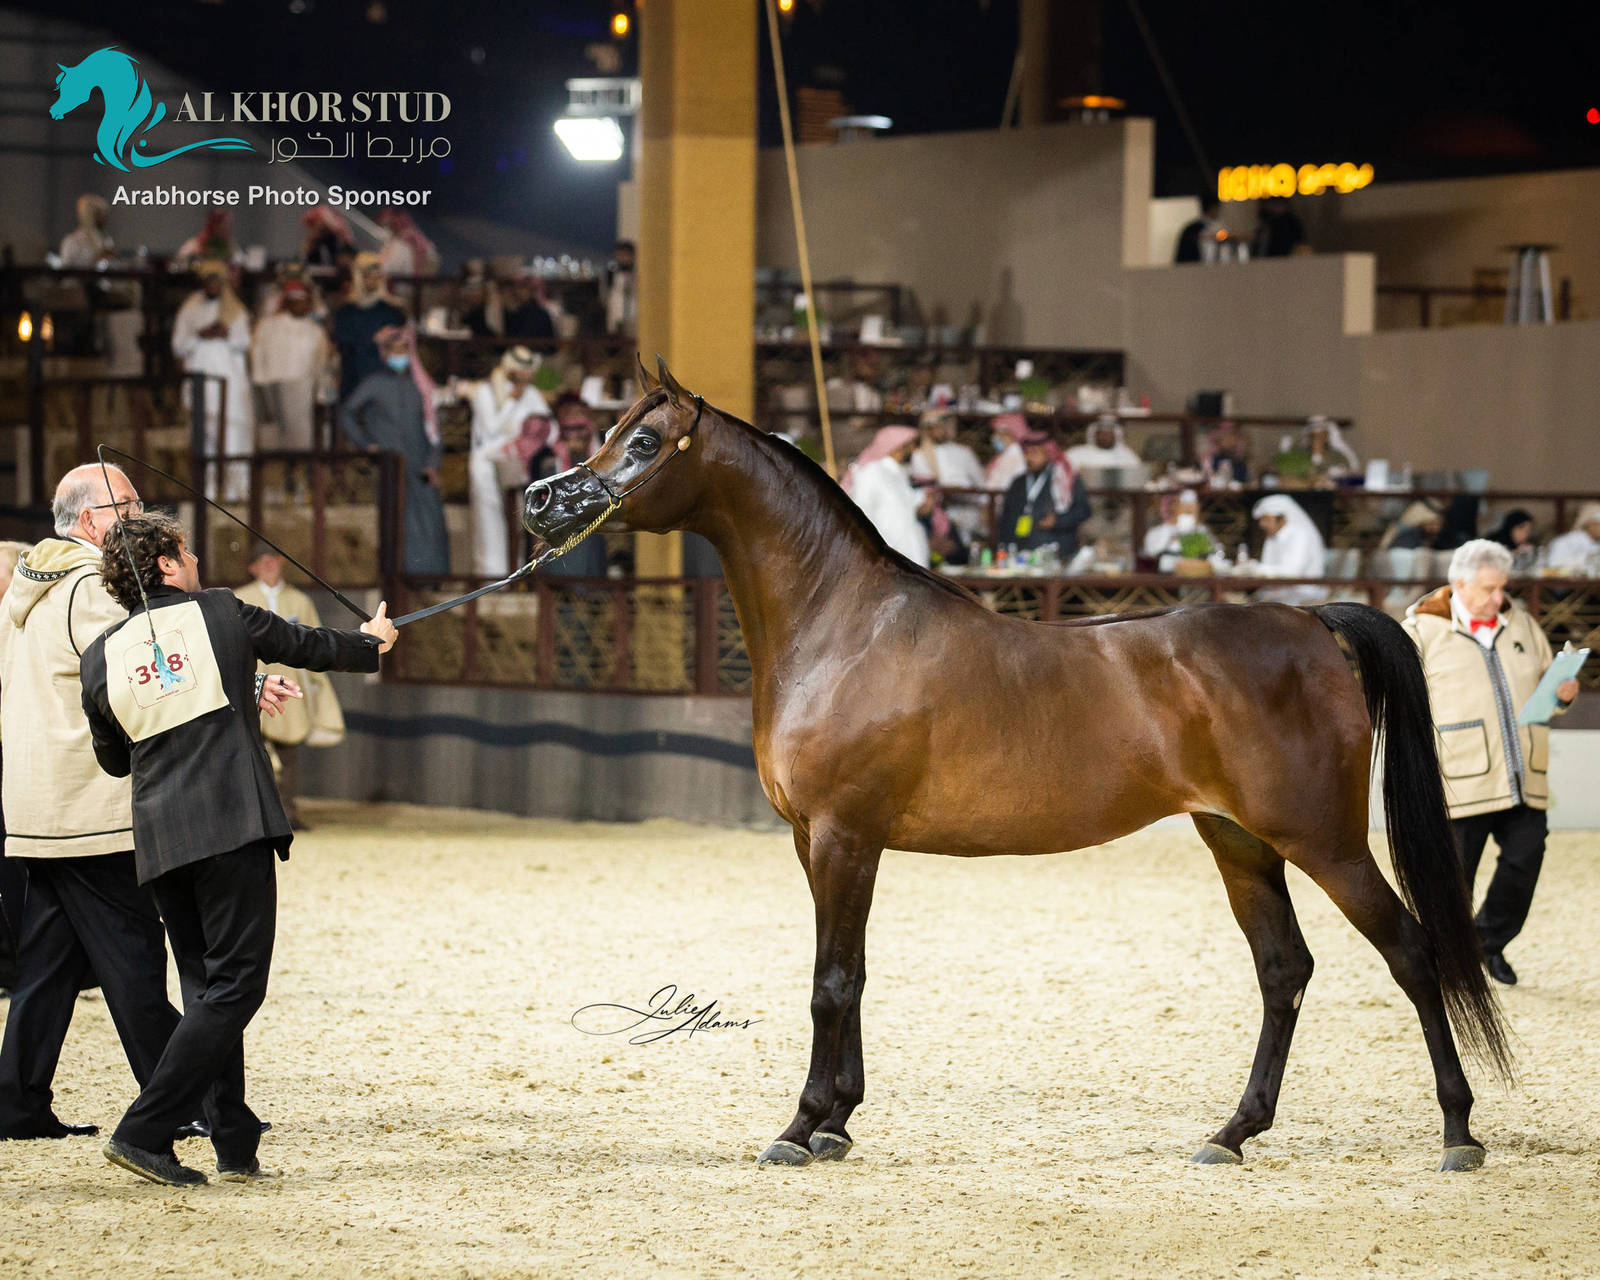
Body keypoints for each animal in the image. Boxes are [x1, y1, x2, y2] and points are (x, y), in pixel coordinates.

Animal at [523, 358, 1512, 1173]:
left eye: (642, 441)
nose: (539, 500)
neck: (842, 625)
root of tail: (1312, 621)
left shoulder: (844, 836)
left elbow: (828, 981)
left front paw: (801, 1127)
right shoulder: (822, 842)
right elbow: (854, 971)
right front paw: (840, 1122)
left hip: (1324, 840)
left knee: (1410, 951)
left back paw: (1458, 1131)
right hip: (1238, 841)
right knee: (1284, 971)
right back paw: (1232, 1133)